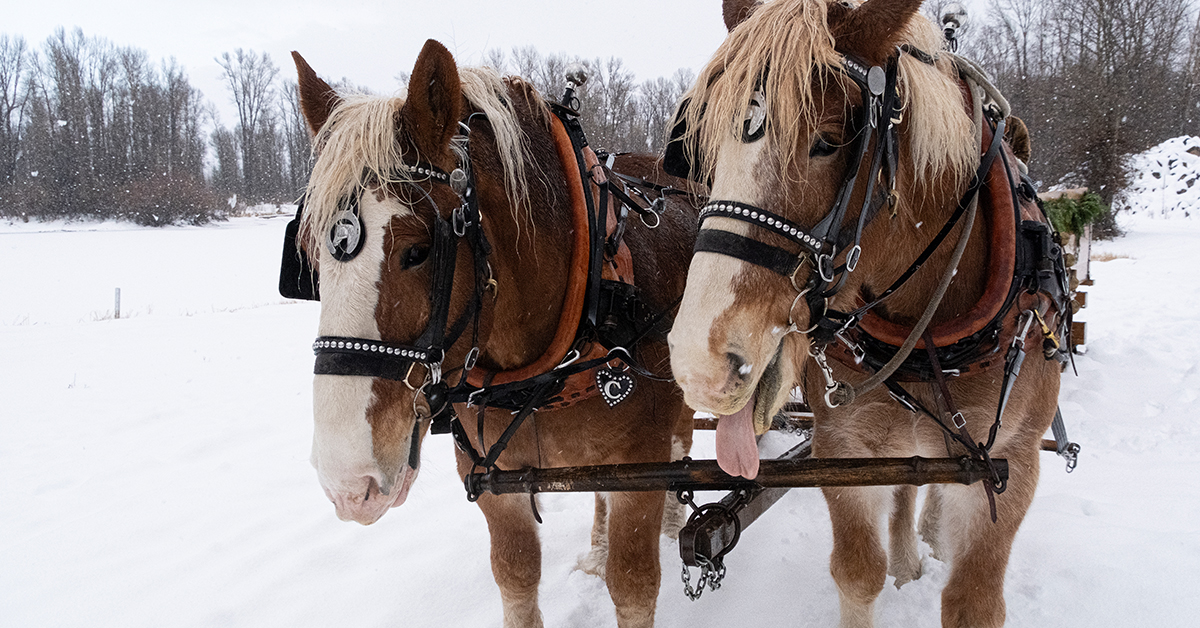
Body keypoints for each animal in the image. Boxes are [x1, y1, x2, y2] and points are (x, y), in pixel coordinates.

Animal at [291, 41, 700, 624]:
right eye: (307, 255)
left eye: (419, 250)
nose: (350, 483)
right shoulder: (492, 481)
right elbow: (515, 576)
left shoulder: (637, 471)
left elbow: (635, 586)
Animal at [672, 1, 1065, 628]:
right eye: (704, 144)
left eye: (829, 141)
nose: (700, 363)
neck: (925, 337)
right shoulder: (846, 451)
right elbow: (859, 573)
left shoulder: (1011, 464)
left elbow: (973, 600)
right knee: (905, 486)